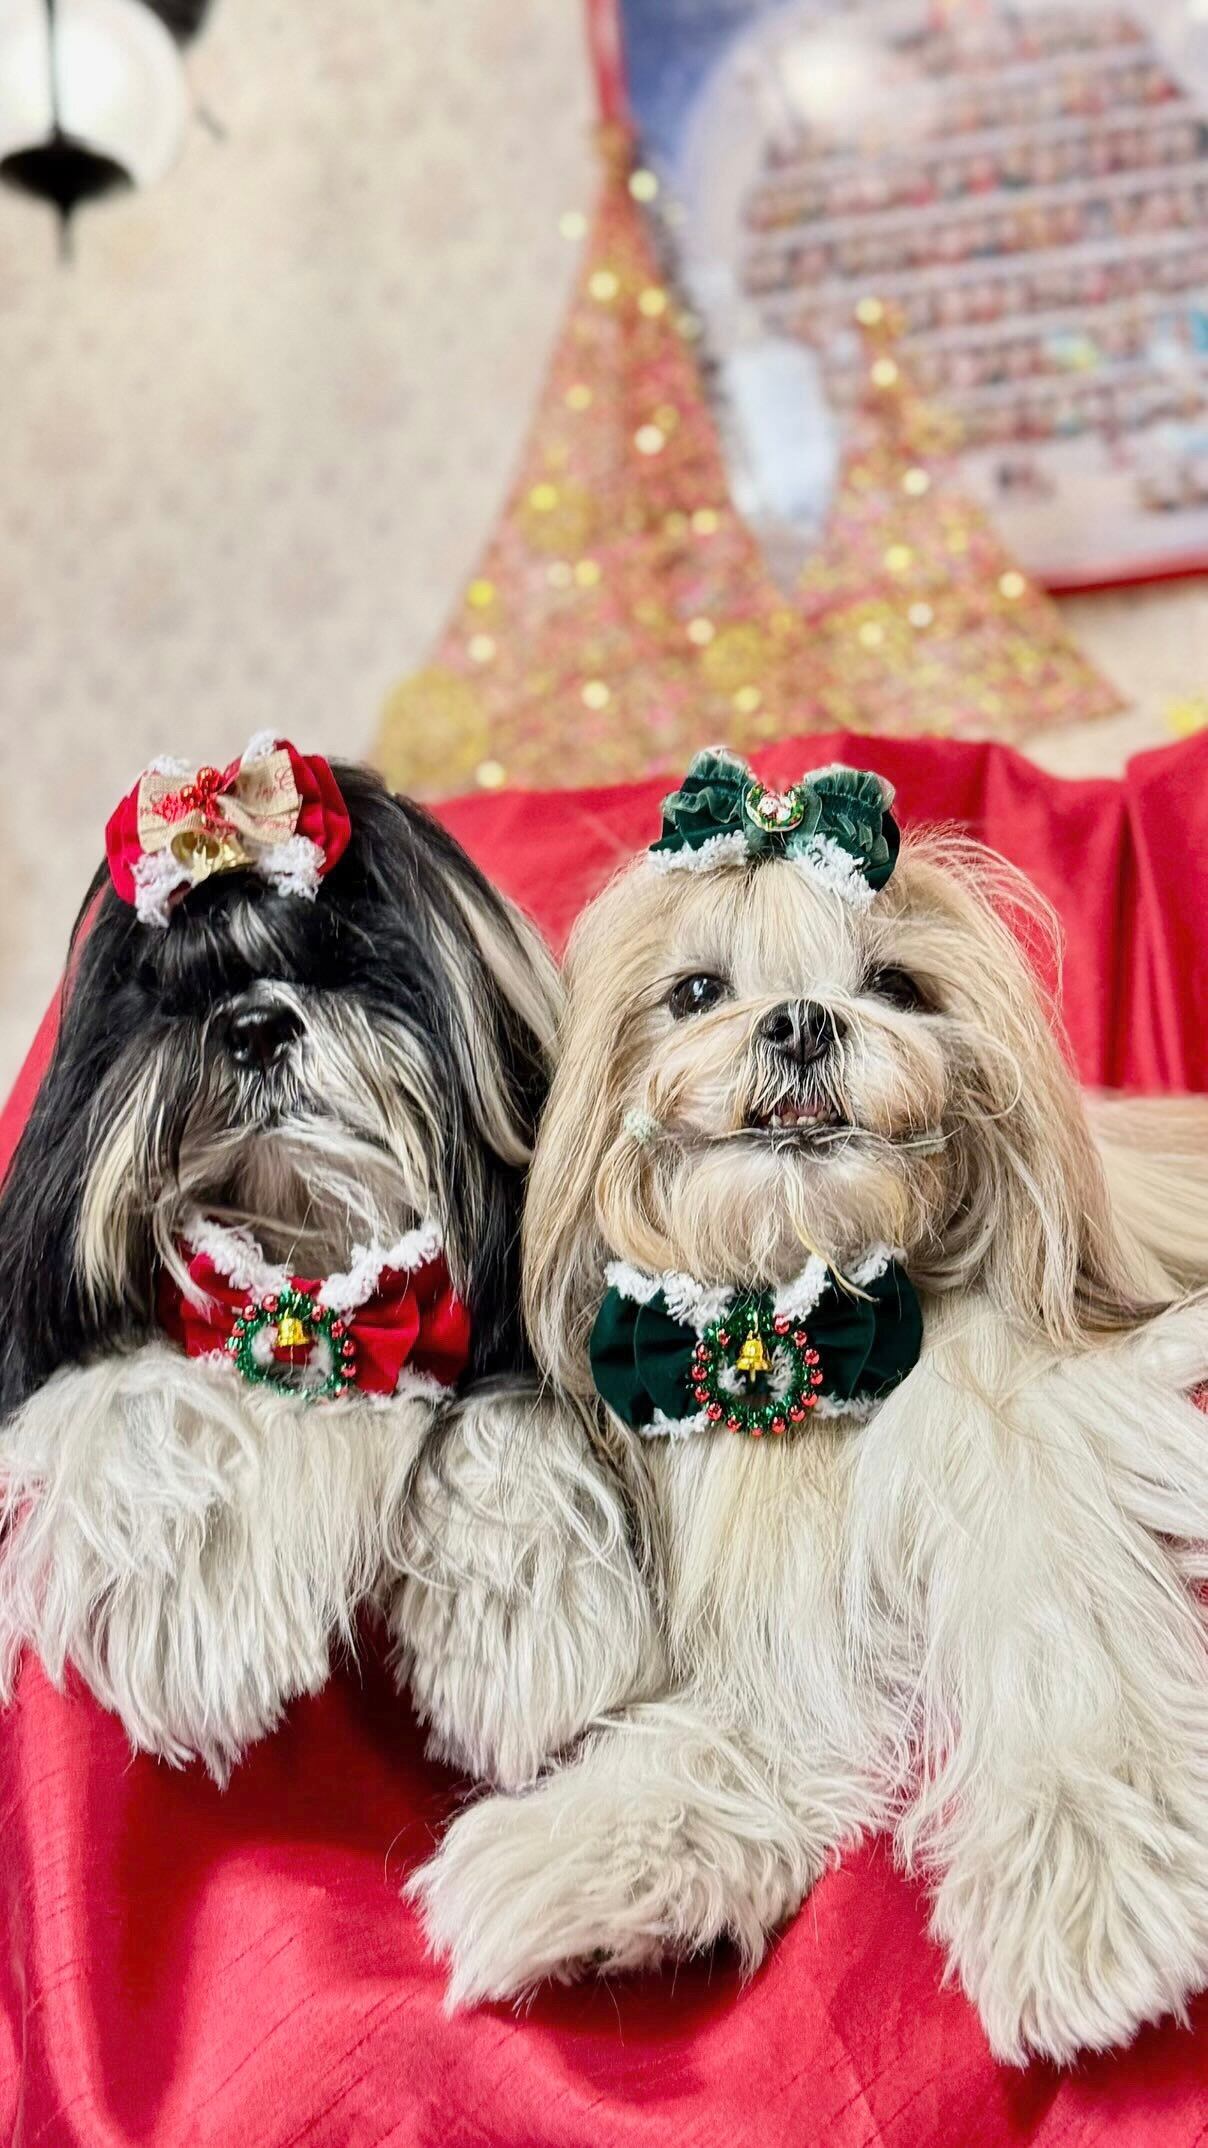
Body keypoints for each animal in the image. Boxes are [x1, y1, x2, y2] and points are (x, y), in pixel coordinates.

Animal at [0, 735, 655, 1782]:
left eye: (345, 958)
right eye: (169, 992)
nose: (254, 1024)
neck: (312, 1263)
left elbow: (518, 1419)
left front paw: (521, 1626)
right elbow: (139, 1395)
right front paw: (197, 1613)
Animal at [412, 748, 1208, 2065]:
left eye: (893, 983)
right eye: (693, 991)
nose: (796, 1019)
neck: (797, 1313)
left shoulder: (1032, 1473)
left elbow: (1062, 1661)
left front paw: (1082, 1887)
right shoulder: (777, 1612)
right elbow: (738, 1728)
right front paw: (582, 1856)